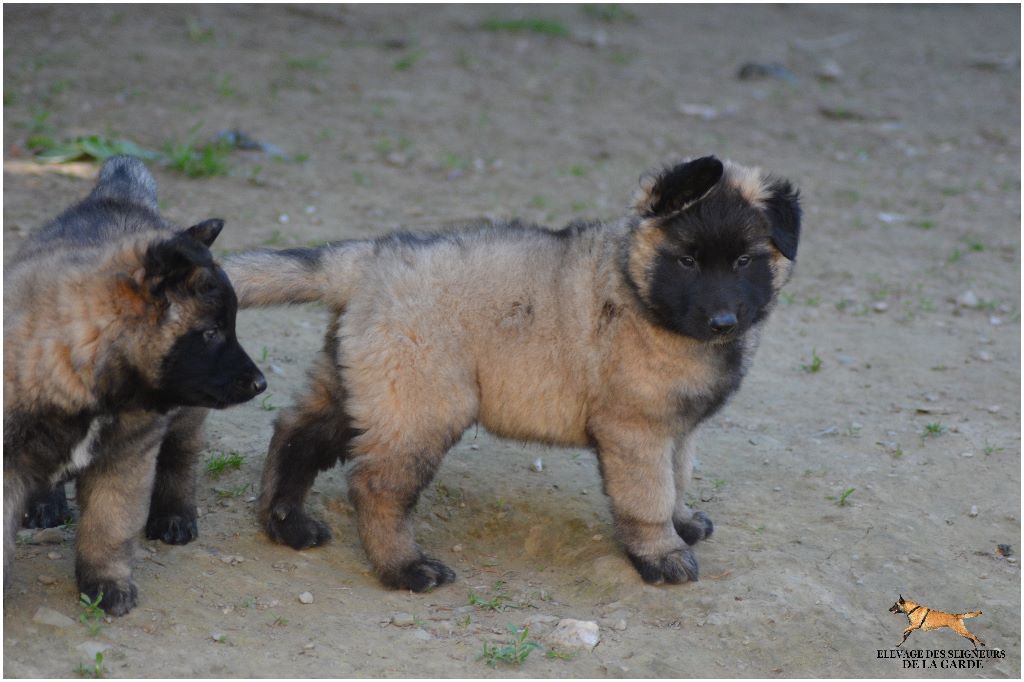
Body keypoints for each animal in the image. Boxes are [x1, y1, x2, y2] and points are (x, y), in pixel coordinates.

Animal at [3, 156, 267, 615]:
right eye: (212, 332)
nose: (261, 383)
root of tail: (121, 195)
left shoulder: (126, 456)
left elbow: (109, 524)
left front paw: (106, 583)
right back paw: (45, 505)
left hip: (188, 411)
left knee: (181, 456)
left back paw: (174, 516)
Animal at [224, 155, 801, 592]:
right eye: (686, 262)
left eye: (744, 261)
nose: (724, 321)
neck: (636, 288)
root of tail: (367, 260)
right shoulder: (637, 429)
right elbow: (648, 495)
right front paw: (662, 554)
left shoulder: (678, 427)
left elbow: (678, 477)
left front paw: (682, 523)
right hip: (421, 404)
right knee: (375, 486)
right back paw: (405, 569)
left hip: (362, 386)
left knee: (296, 431)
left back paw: (286, 523)